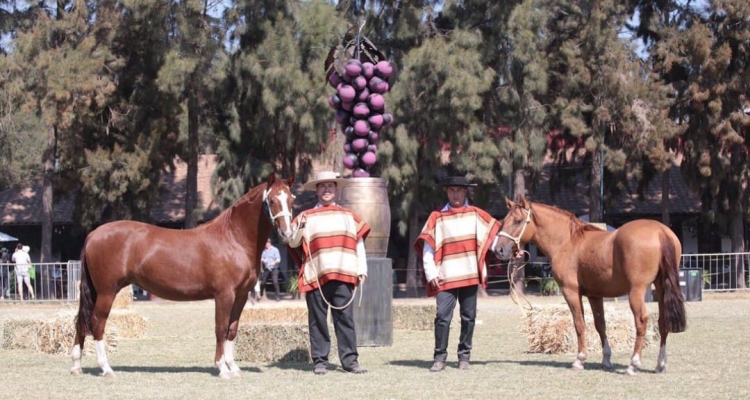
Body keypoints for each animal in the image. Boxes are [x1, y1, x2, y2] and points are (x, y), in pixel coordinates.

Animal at [69, 173, 296, 378]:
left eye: (291, 200)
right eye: (272, 200)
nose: (286, 233)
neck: (233, 238)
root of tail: (93, 234)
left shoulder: (240, 296)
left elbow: (232, 329)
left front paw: (233, 367)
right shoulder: (224, 295)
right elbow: (220, 329)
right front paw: (222, 368)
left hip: (96, 292)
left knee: (81, 322)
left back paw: (76, 366)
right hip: (107, 292)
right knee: (97, 323)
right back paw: (106, 368)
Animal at [496, 196, 692, 376]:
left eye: (518, 221)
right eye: (504, 220)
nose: (498, 250)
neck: (568, 242)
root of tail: (660, 231)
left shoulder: (571, 292)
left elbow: (579, 324)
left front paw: (579, 360)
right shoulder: (595, 295)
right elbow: (600, 325)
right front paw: (606, 359)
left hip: (637, 291)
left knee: (641, 320)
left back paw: (633, 364)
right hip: (661, 287)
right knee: (662, 322)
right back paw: (660, 365)